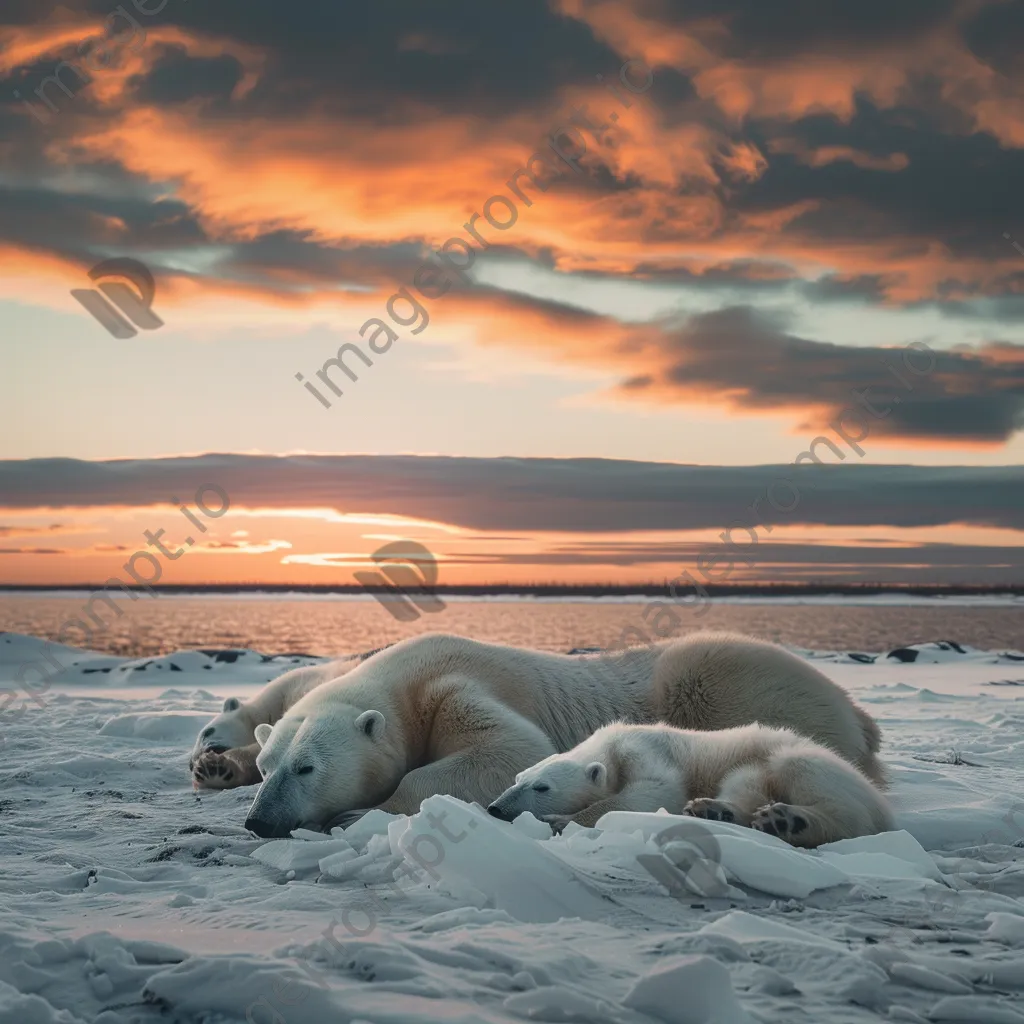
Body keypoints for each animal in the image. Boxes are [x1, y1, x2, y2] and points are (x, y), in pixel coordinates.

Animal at [483, 716, 892, 843]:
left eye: (542, 787)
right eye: (517, 778)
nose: (496, 808)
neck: (611, 744)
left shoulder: (647, 752)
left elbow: (651, 792)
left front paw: (560, 820)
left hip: (804, 760)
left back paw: (789, 819)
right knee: (745, 783)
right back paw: (718, 811)